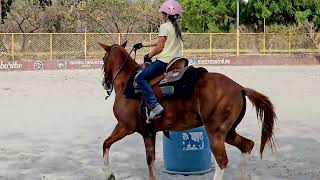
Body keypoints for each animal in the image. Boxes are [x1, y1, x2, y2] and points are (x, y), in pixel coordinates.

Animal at [99, 41, 276, 180]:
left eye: (103, 59)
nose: (105, 83)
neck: (127, 83)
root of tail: (240, 88)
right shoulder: (148, 133)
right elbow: (150, 161)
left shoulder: (125, 126)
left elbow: (106, 143)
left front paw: (108, 174)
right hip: (228, 132)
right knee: (247, 145)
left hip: (215, 133)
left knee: (222, 161)